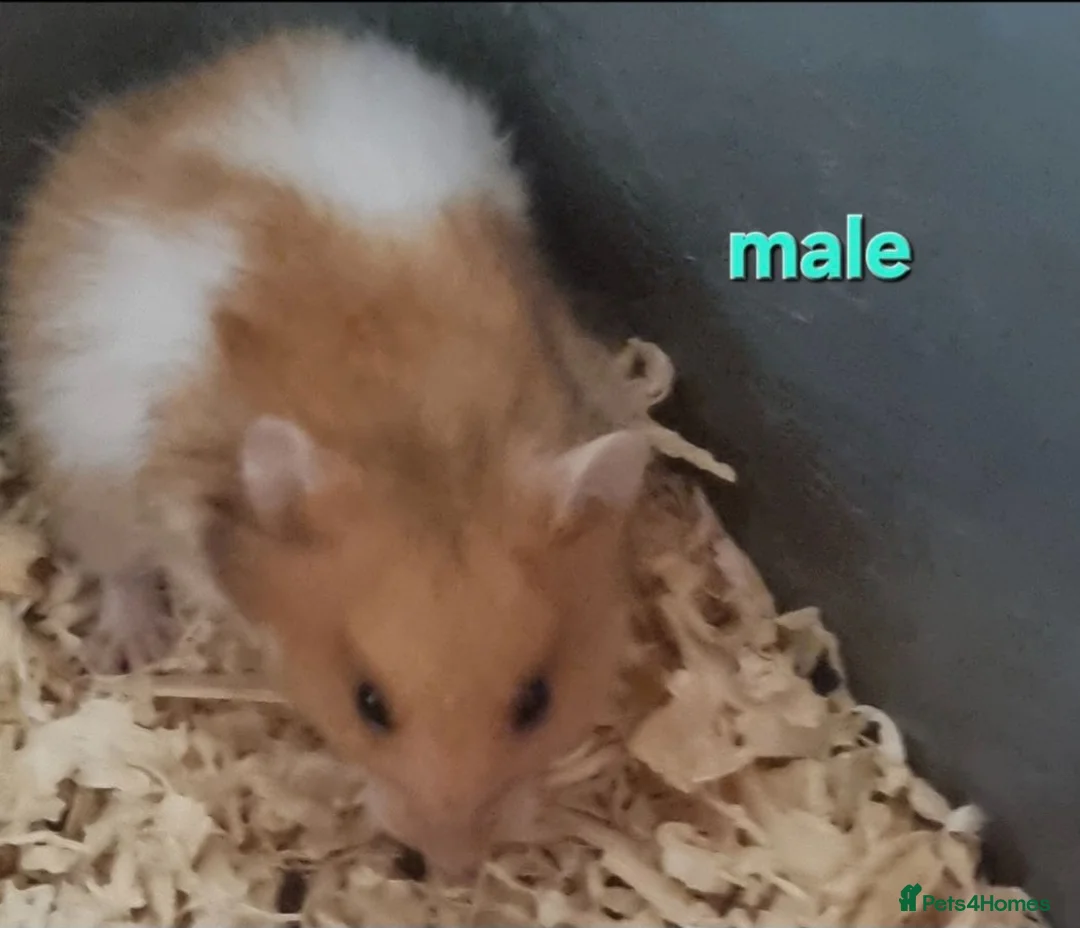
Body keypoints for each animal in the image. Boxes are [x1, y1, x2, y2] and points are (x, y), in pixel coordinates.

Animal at [1, 29, 653, 878]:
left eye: (536, 700)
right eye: (366, 704)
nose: (450, 865)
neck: (425, 442)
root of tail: (168, 89)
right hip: (80, 457)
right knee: (116, 564)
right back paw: (132, 646)